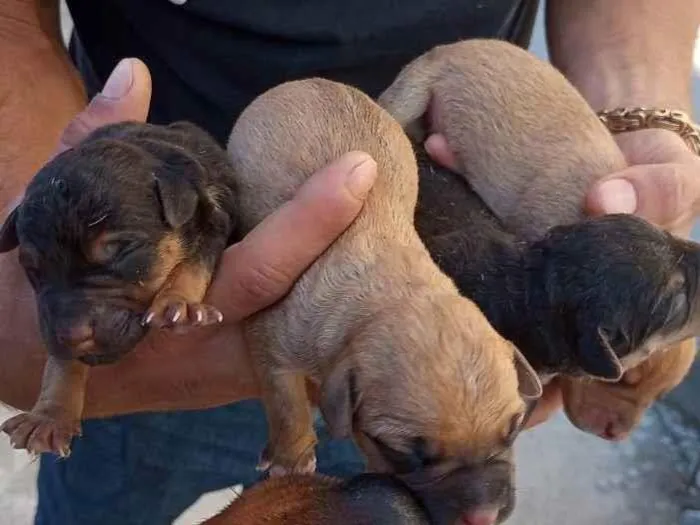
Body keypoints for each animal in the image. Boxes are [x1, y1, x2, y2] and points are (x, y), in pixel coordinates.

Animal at [0, 121, 239, 456]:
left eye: (119, 251)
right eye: (33, 269)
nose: (74, 335)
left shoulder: (216, 216)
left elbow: (195, 260)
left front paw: (177, 304)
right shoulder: (53, 318)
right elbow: (62, 358)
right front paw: (50, 415)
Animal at [227, 78, 544, 524]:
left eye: (514, 429)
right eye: (401, 453)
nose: (483, 517)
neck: (392, 292)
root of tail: (306, 82)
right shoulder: (273, 338)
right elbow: (286, 403)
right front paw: (291, 458)